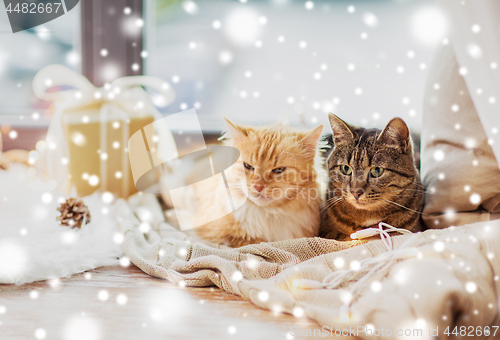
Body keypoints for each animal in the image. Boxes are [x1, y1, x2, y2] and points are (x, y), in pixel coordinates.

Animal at [195, 119, 324, 247]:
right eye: (248, 166)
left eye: (279, 170)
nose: (258, 187)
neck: (268, 214)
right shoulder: (215, 233)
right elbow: (254, 242)